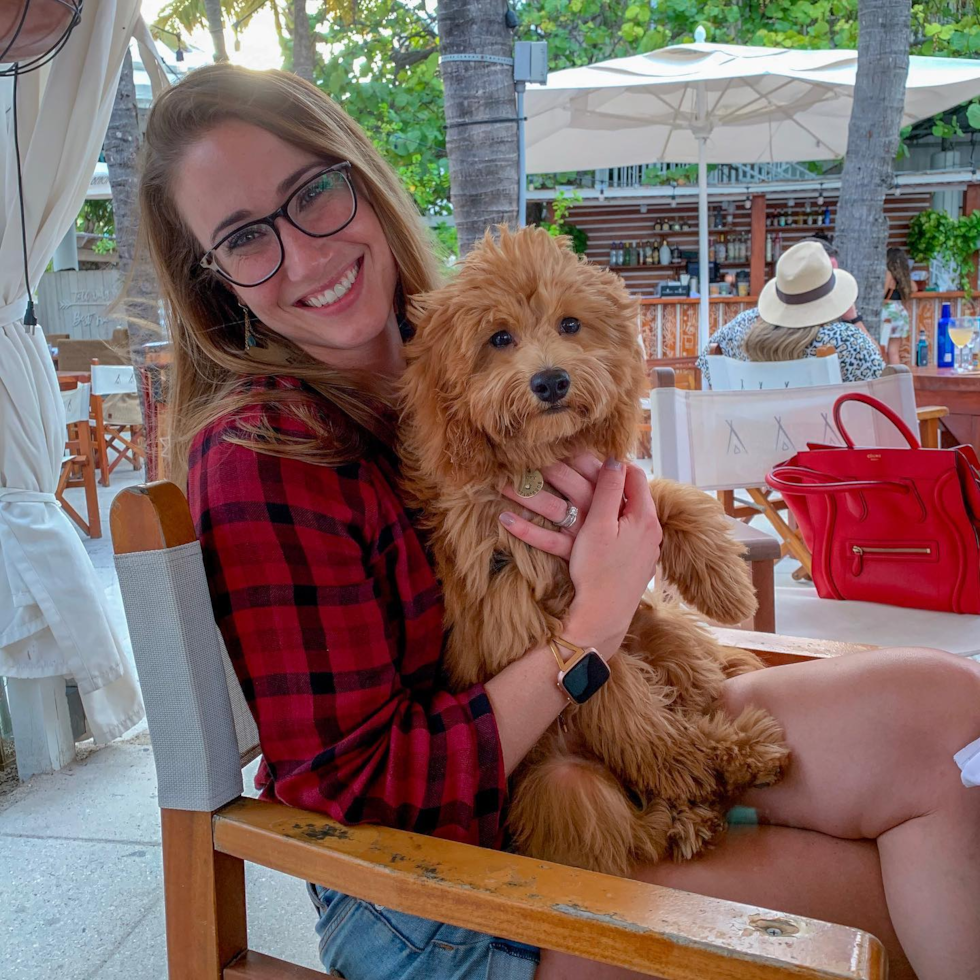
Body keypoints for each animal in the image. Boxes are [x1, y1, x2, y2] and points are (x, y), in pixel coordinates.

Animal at [398, 228, 788, 872]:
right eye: (499, 338)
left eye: (571, 324)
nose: (551, 381)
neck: (542, 465)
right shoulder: (525, 613)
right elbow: (617, 694)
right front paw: (682, 761)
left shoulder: (613, 486)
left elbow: (665, 496)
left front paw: (727, 585)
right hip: (565, 788)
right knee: (629, 830)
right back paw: (698, 786)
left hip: (658, 631)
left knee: (685, 660)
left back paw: (730, 751)